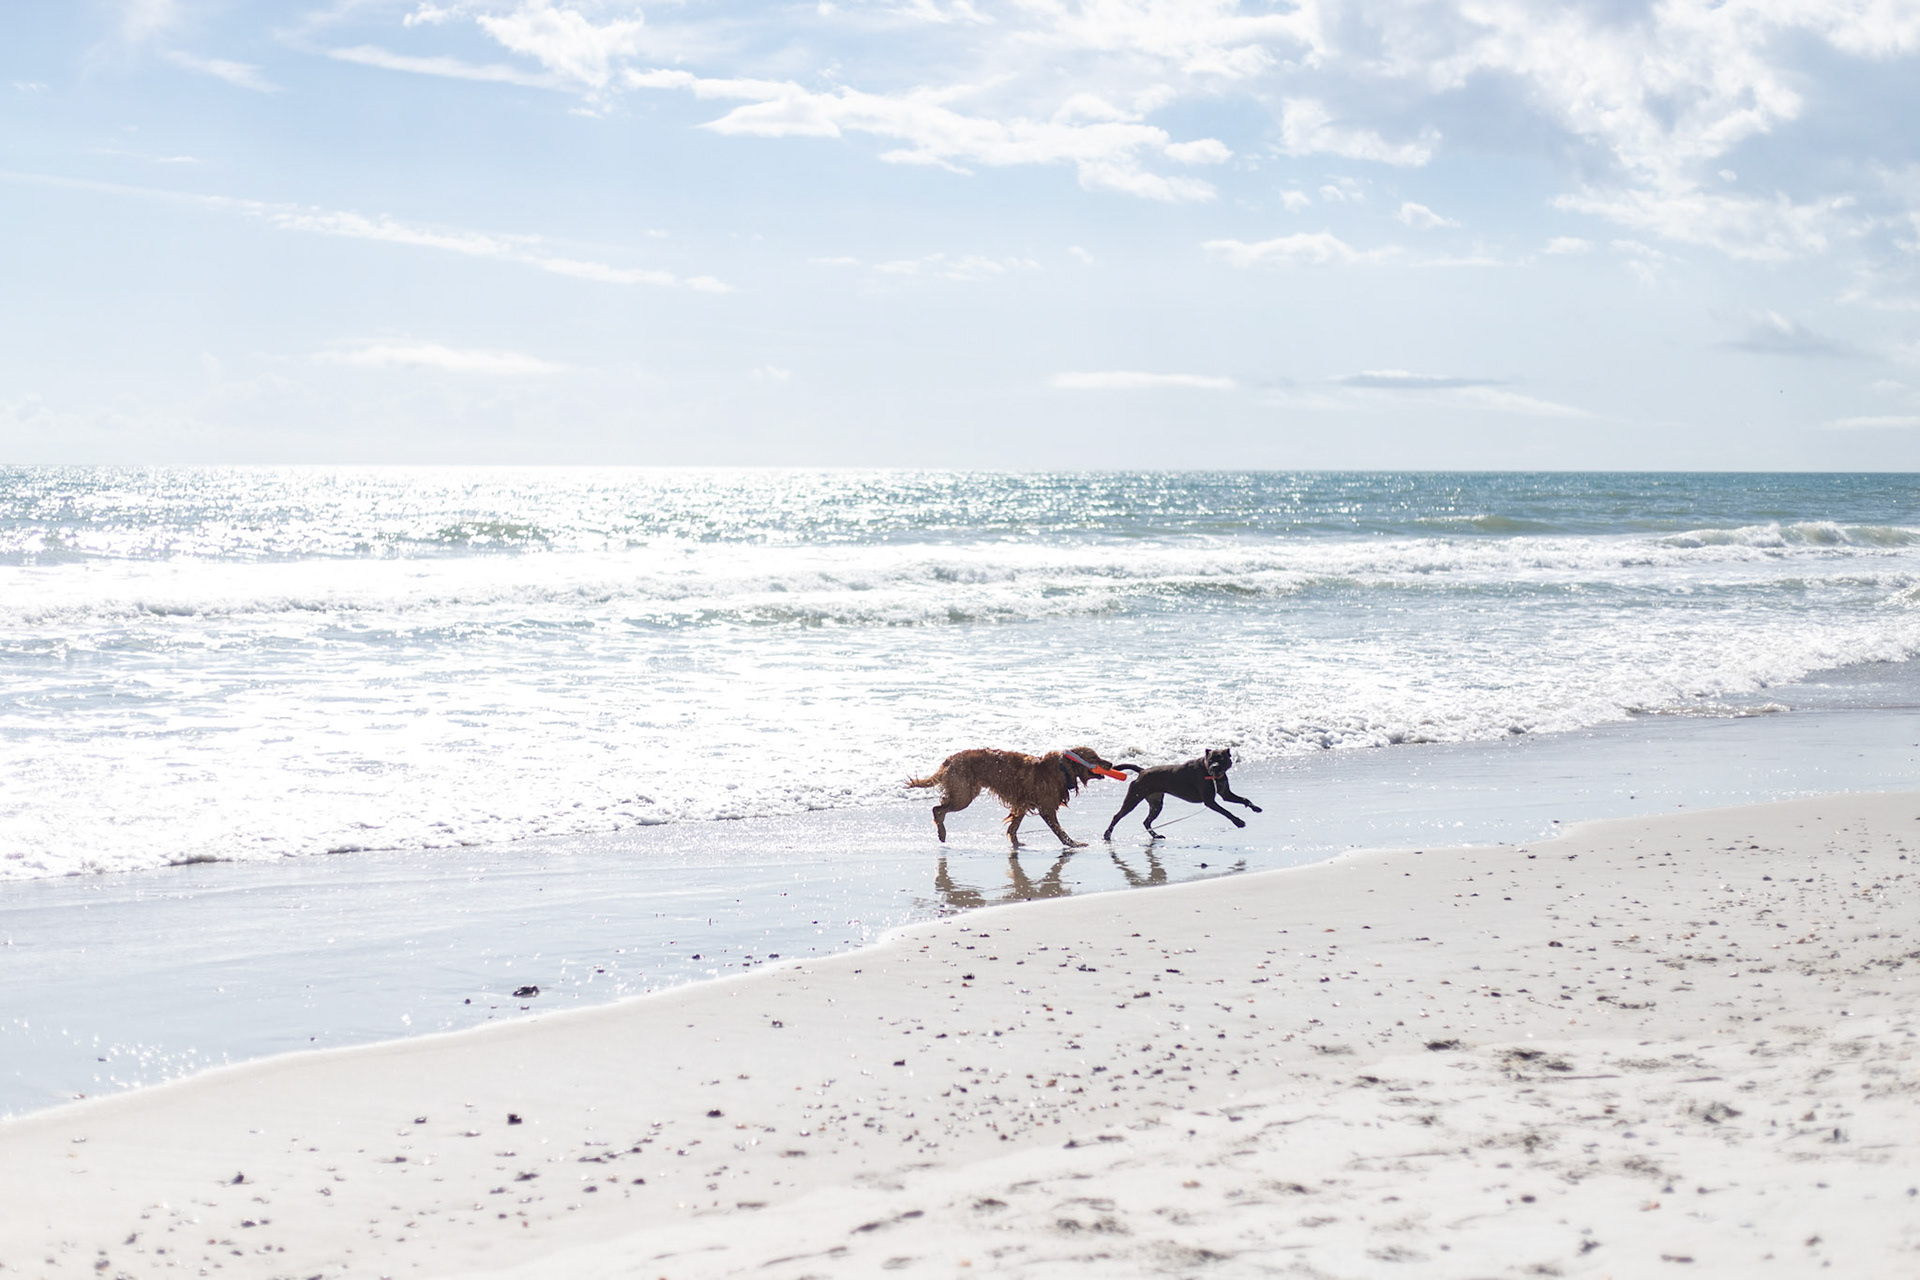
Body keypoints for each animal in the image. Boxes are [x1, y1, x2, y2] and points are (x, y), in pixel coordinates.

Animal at [908, 747, 1125, 849]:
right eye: (1094, 758)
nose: (1110, 763)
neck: (1062, 769)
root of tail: (949, 759)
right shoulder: (1045, 807)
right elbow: (1060, 831)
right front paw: (1073, 843)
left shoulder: (1023, 803)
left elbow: (1014, 826)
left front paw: (1016, 843)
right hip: (963, 795)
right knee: (938, 809)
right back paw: (942, 833)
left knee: (939, 808)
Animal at [1102, 747, 1261, 839]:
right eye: (1211, 760)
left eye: (1221, 759)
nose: (1215, 767)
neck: (1212, 775)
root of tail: (1142, 771)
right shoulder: (1210, 801)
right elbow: (1226, 812)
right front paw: (1238, 821)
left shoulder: (1226, 795)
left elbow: (1244, 799)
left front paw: (1255, 807)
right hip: (1133, 798)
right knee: (1117, 816)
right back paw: (1107, 834)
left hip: (1156, 803)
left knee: (1146, 821)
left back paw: (1156, 835)